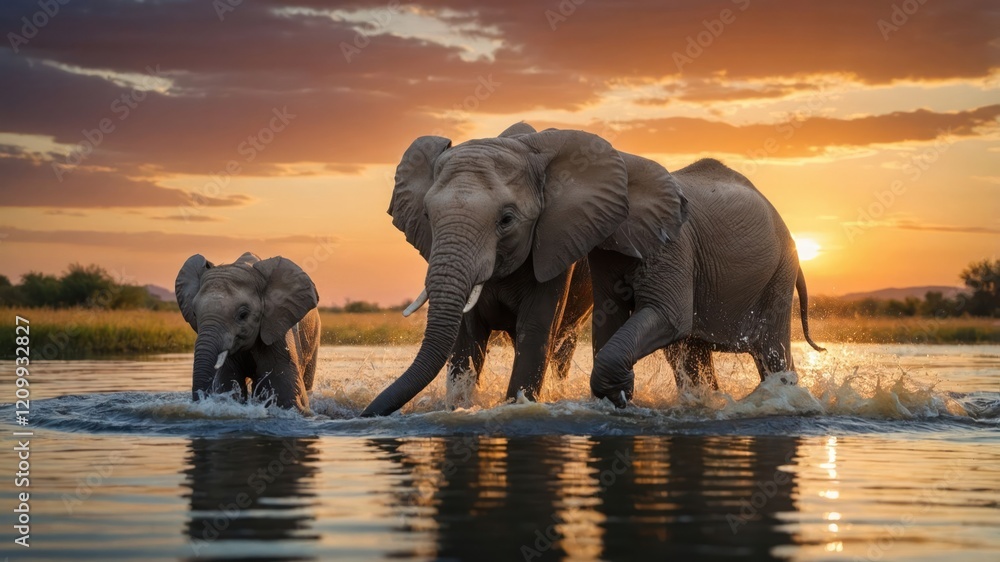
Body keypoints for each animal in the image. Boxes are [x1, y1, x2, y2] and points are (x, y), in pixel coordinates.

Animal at [175, 251, 321, 414]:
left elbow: (287, 397)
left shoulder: (277, 332)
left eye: (243, 315)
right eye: (194, 314)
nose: (201, 399)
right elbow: (226, 384)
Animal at [361, 124, 687, 417]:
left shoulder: (557, 244)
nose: (368, 413)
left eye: (506, 220)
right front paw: (457, 407)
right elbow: (466, 337)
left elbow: (534, 330)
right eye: (428, 216)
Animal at [587, 156, 825, 407]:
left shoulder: (671, 243)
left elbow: (669, 316)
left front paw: (620, 394)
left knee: (772, 351)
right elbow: (609, 315)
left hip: (779, 276)